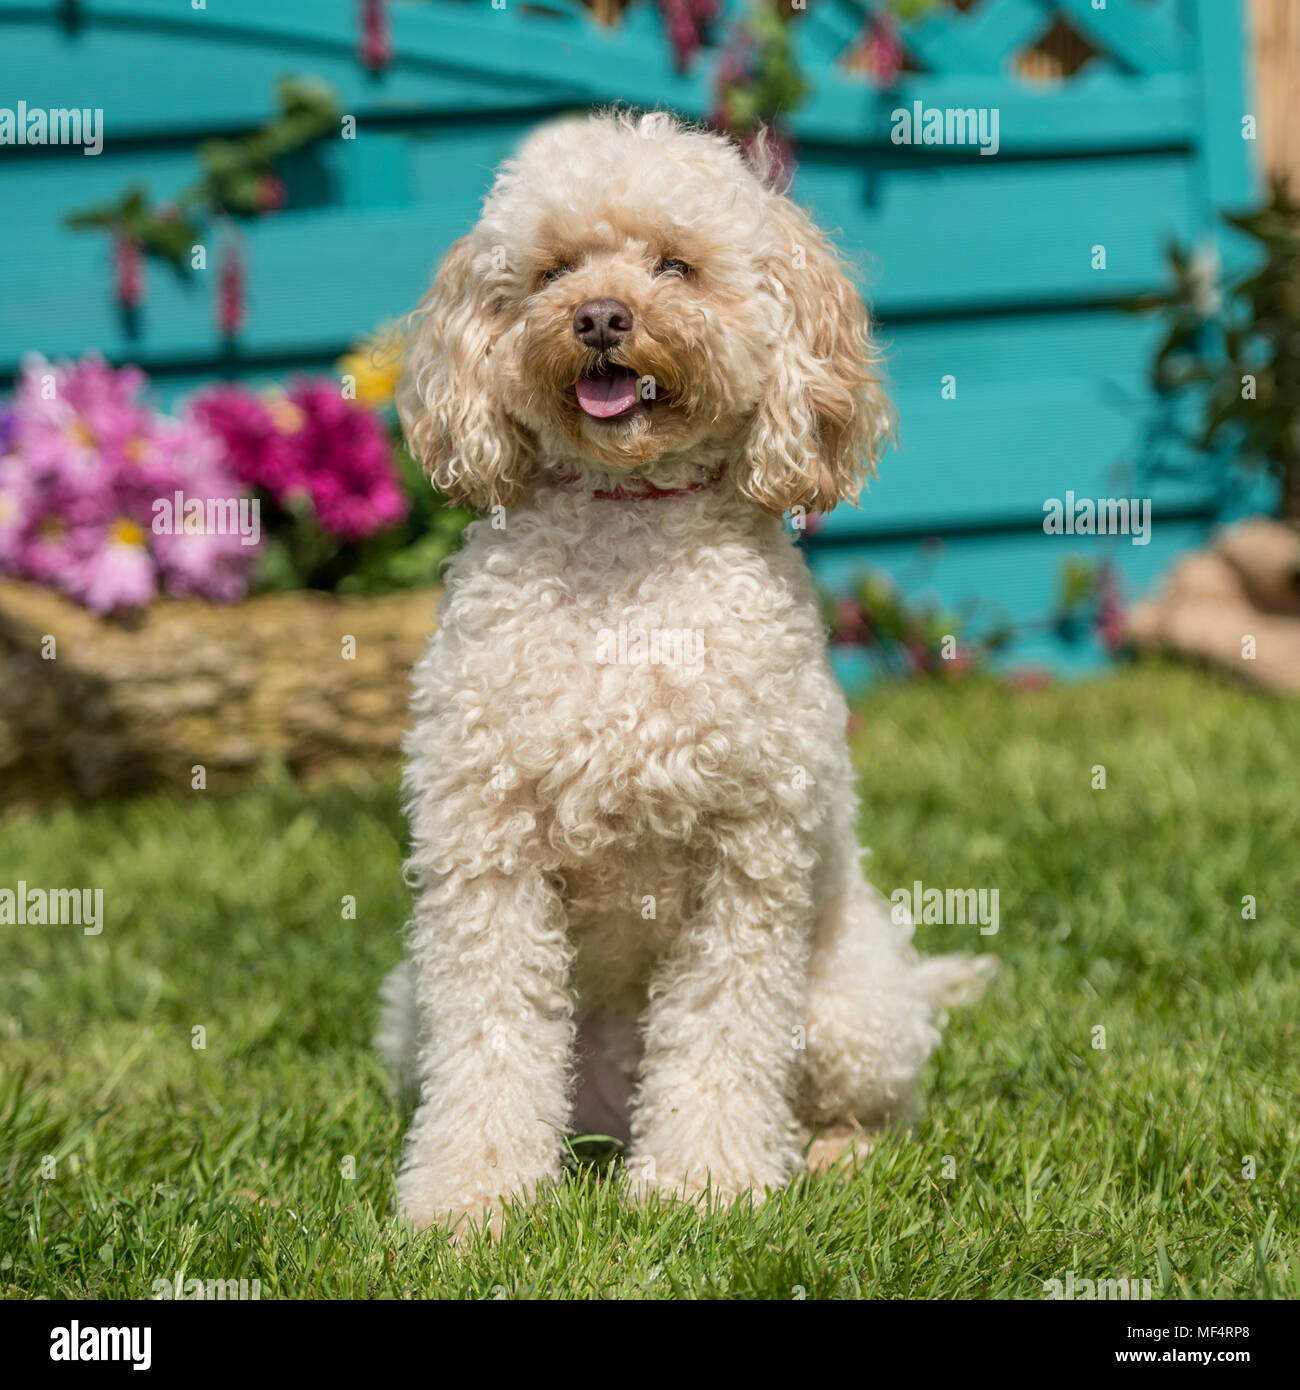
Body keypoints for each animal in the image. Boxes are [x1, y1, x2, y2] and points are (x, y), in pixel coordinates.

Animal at [378, 111, 995, 1239]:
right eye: (554, 270)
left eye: (676, 264)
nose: (600, 316)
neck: (629, 534)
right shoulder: (486, 856)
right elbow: (491, 1039)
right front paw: (472, 1199)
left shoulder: (744, 862)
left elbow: (720, 1035)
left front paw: (706, 1186)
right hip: (412, 1015)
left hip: (848, 1014)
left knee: (865, 1105)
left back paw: (824, 1156)